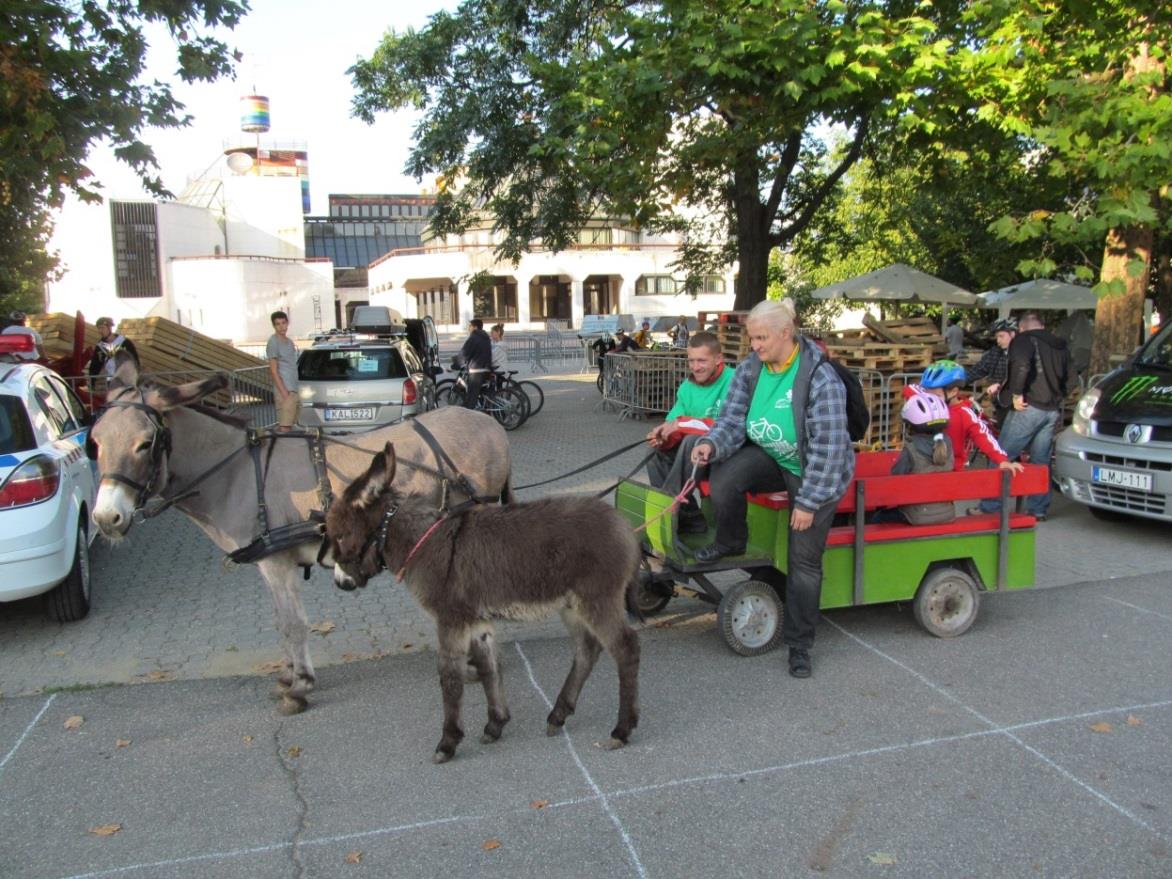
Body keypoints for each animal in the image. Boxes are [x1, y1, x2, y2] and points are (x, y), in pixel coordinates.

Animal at [328, 443, 642, 768]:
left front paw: (448, 742)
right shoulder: (477, 622)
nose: (341, 583)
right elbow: (489, 666)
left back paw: (621, 730)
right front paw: (495, 725)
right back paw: (558, 715)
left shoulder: (450, 620)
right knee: (586, 650)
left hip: (597, 599)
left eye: (339, 535)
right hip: (571, 606)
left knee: (625, 648)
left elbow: (450, 678)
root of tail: (624, 526)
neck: (423, 544)